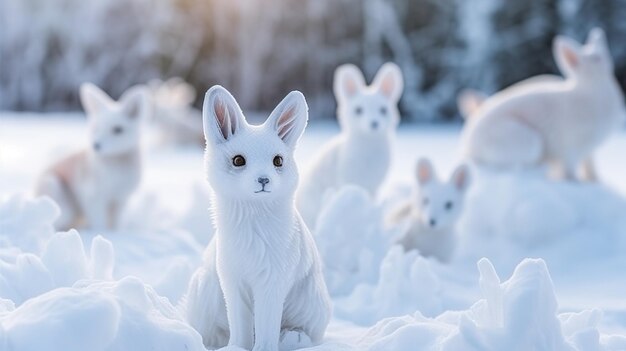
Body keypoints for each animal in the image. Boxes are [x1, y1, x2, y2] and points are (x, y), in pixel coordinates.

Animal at [35, 83, 150, 231]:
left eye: (117, 130)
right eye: (96, 128)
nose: (96, 145)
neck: (116, 163)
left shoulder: (120, 199)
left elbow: (116, 223)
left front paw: (116, 233)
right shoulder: (94, 197)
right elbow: (99, 223)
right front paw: (102, 233)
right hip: (57, 192)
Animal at [185, 86, 332, 351]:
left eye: (278, 160)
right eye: (238, 160)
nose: (264, 180)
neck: (253, 217)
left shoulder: (272, 283)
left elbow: (266, 326)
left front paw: (264, 347)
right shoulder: (233, 281)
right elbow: (240, 325)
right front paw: (236, 348)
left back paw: (293, 337)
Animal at [294, 63, 402, 228]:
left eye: (383, 110)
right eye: (358, 110)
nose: (374, 123)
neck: (369, 145)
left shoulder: (374, 186)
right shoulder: (347, 178)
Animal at [458, 27, 624, 182]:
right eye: (596, 58)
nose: (606, 56)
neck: (592, 88)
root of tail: (468, 146)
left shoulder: (589, 153)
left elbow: (590, 169)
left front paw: (594, 181)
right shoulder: (571, 150)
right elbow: (570, 171)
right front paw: (574, 182)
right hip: (529, 142)